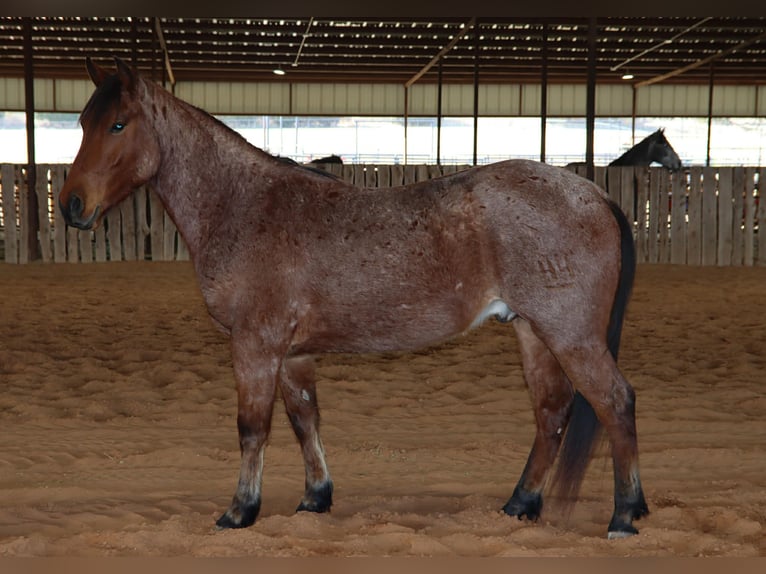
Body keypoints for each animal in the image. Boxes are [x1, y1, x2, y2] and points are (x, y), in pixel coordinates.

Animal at [59, 57, 649, 539]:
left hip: (571, 337)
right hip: (532, 331)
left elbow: (253, 428)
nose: (70, 205)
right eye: (83, 123)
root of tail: (592, 194)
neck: (244, 205)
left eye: (118, 124)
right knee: (551, 411)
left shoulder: (255, 345)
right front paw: (314, 499)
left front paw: (239, 511)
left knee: (614, 402)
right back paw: (521, 504)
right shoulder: (293, 353)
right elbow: (304, 419)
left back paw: (624, 514)